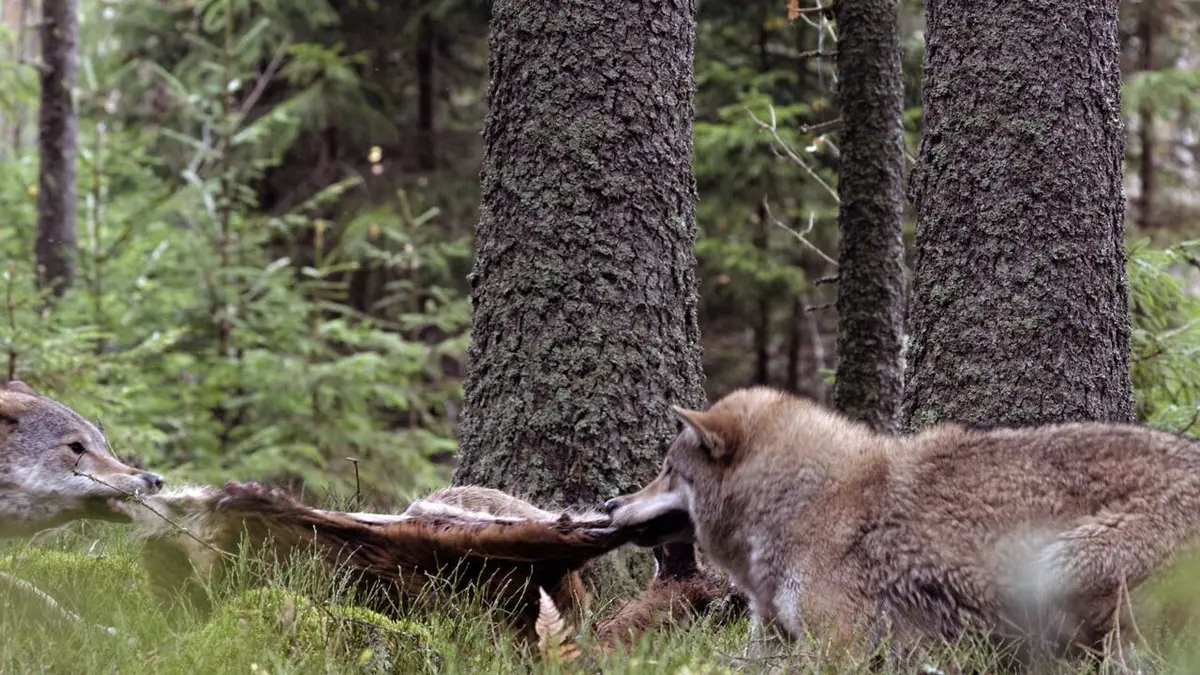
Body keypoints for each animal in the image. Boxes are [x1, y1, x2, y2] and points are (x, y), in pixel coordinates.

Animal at [605, 386, 1200, 665]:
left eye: (667, 471)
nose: (610, 504)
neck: (801, 503)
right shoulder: (768, 639)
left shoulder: (837, 649)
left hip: (1060, 572)